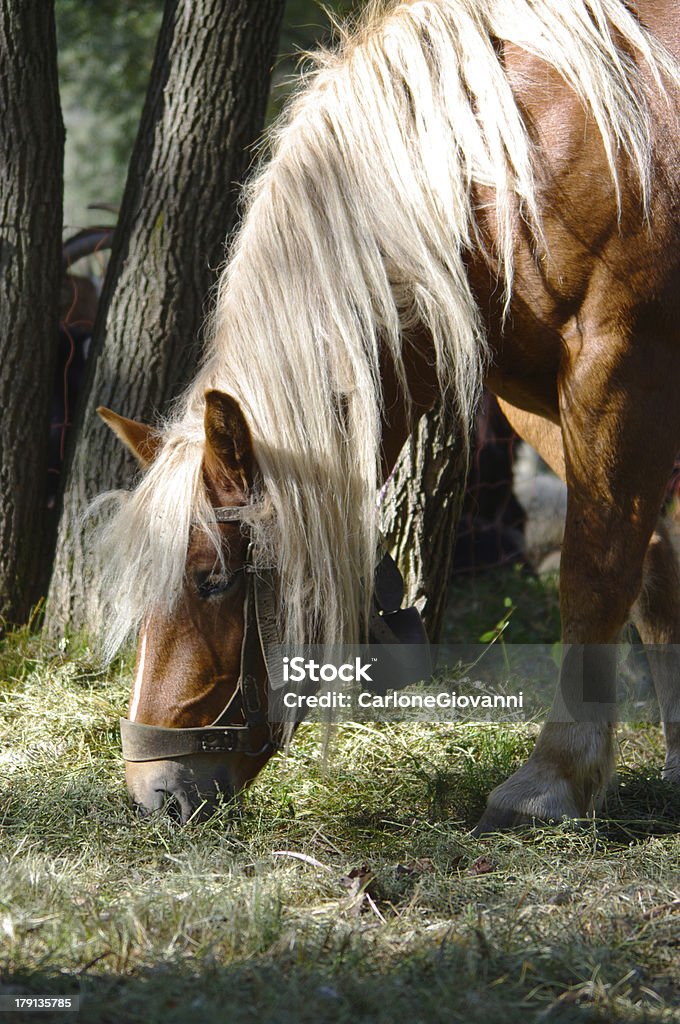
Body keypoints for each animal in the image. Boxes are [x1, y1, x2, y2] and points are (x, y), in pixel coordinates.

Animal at [94, 0, 680, 827]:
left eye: (211, 579)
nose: (156, 790)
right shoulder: (538, 398)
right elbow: (652, 569)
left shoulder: (623, 365)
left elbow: (595, 577)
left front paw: (554, 777)